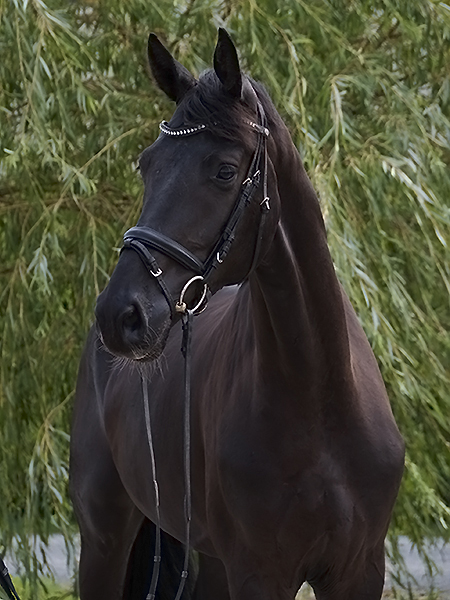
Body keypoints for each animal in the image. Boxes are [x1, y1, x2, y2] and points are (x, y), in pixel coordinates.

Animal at [69, 29, 405, 600]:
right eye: (147, 164)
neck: (320, 399)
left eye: (225, 171)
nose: (121, 314)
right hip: (104, 541)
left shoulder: (359, 570)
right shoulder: (259, 572)